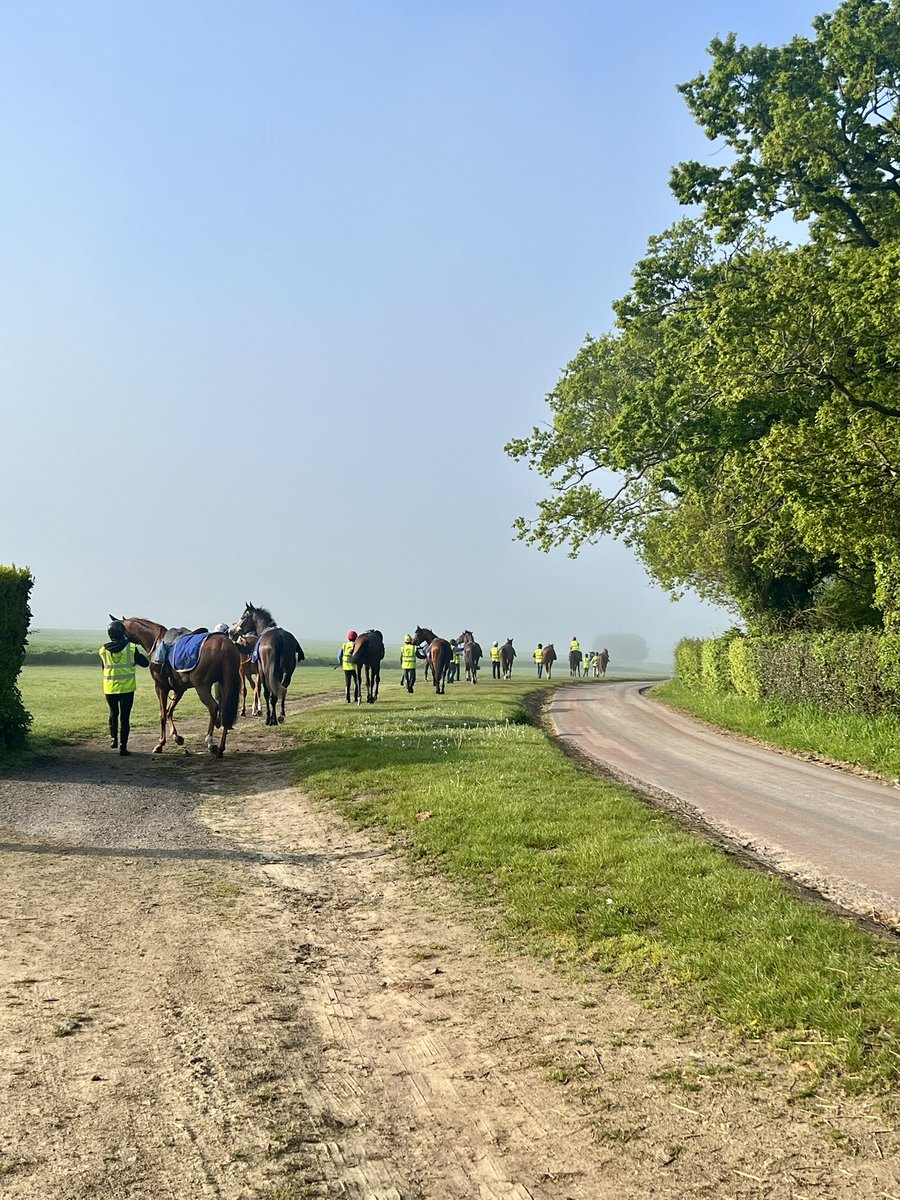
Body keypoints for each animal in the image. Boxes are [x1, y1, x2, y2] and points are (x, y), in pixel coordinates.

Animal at [116, 614, 243, 753]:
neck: (156, 641)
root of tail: (224, 644)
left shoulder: (160, 687)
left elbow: (162, 713)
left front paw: (160, 743)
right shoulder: (179, 689)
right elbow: (169, 711)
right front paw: (177, 737)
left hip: (202, 687)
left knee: (214, 708)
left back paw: (210, 742)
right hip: (226, 683)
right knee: (226, 710)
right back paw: (221, 747)